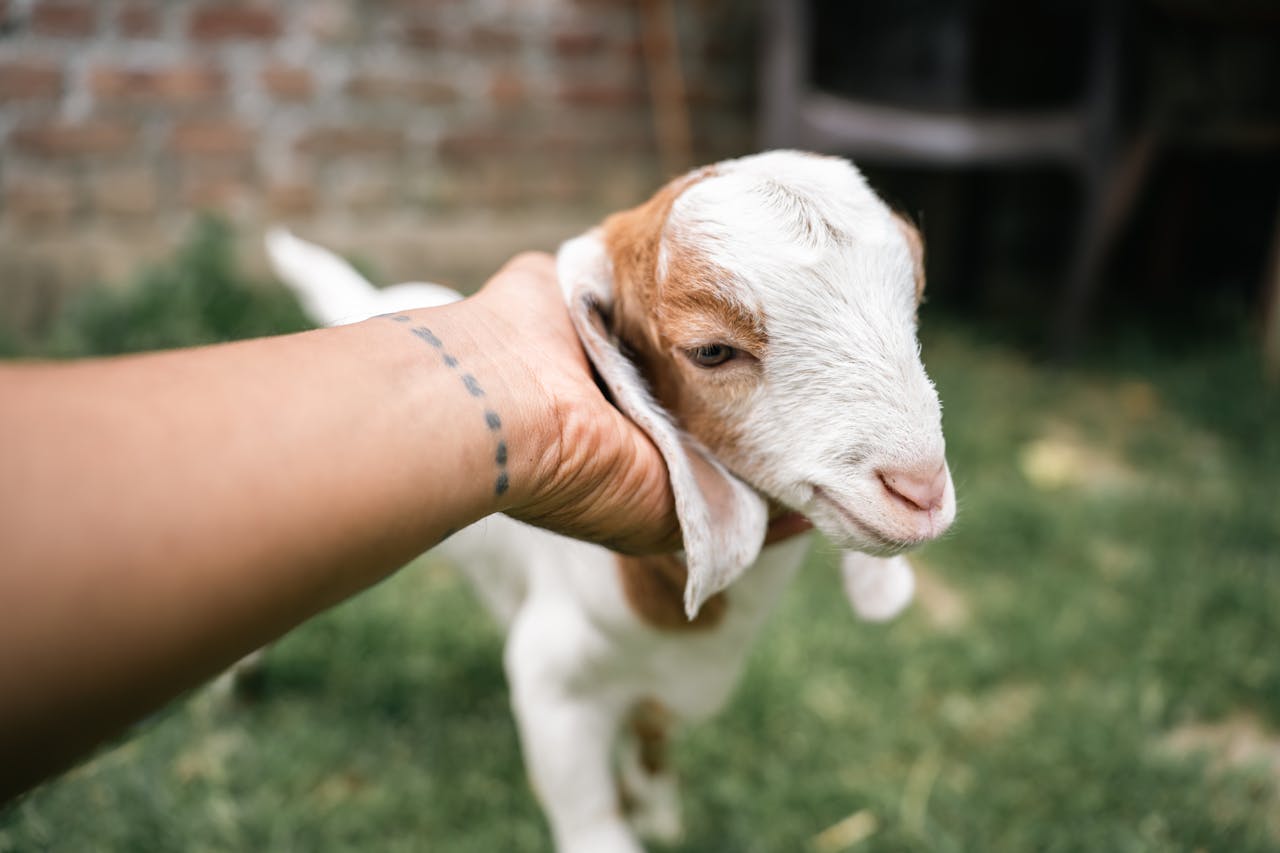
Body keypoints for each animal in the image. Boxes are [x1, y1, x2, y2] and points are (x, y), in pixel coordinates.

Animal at [266, 150, 955, 852]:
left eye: (916, 305)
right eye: (711, 350)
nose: (920, 490)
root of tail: (376, 301)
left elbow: (650, 740)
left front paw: (660, 815)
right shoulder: (552, 681)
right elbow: (592, 816)